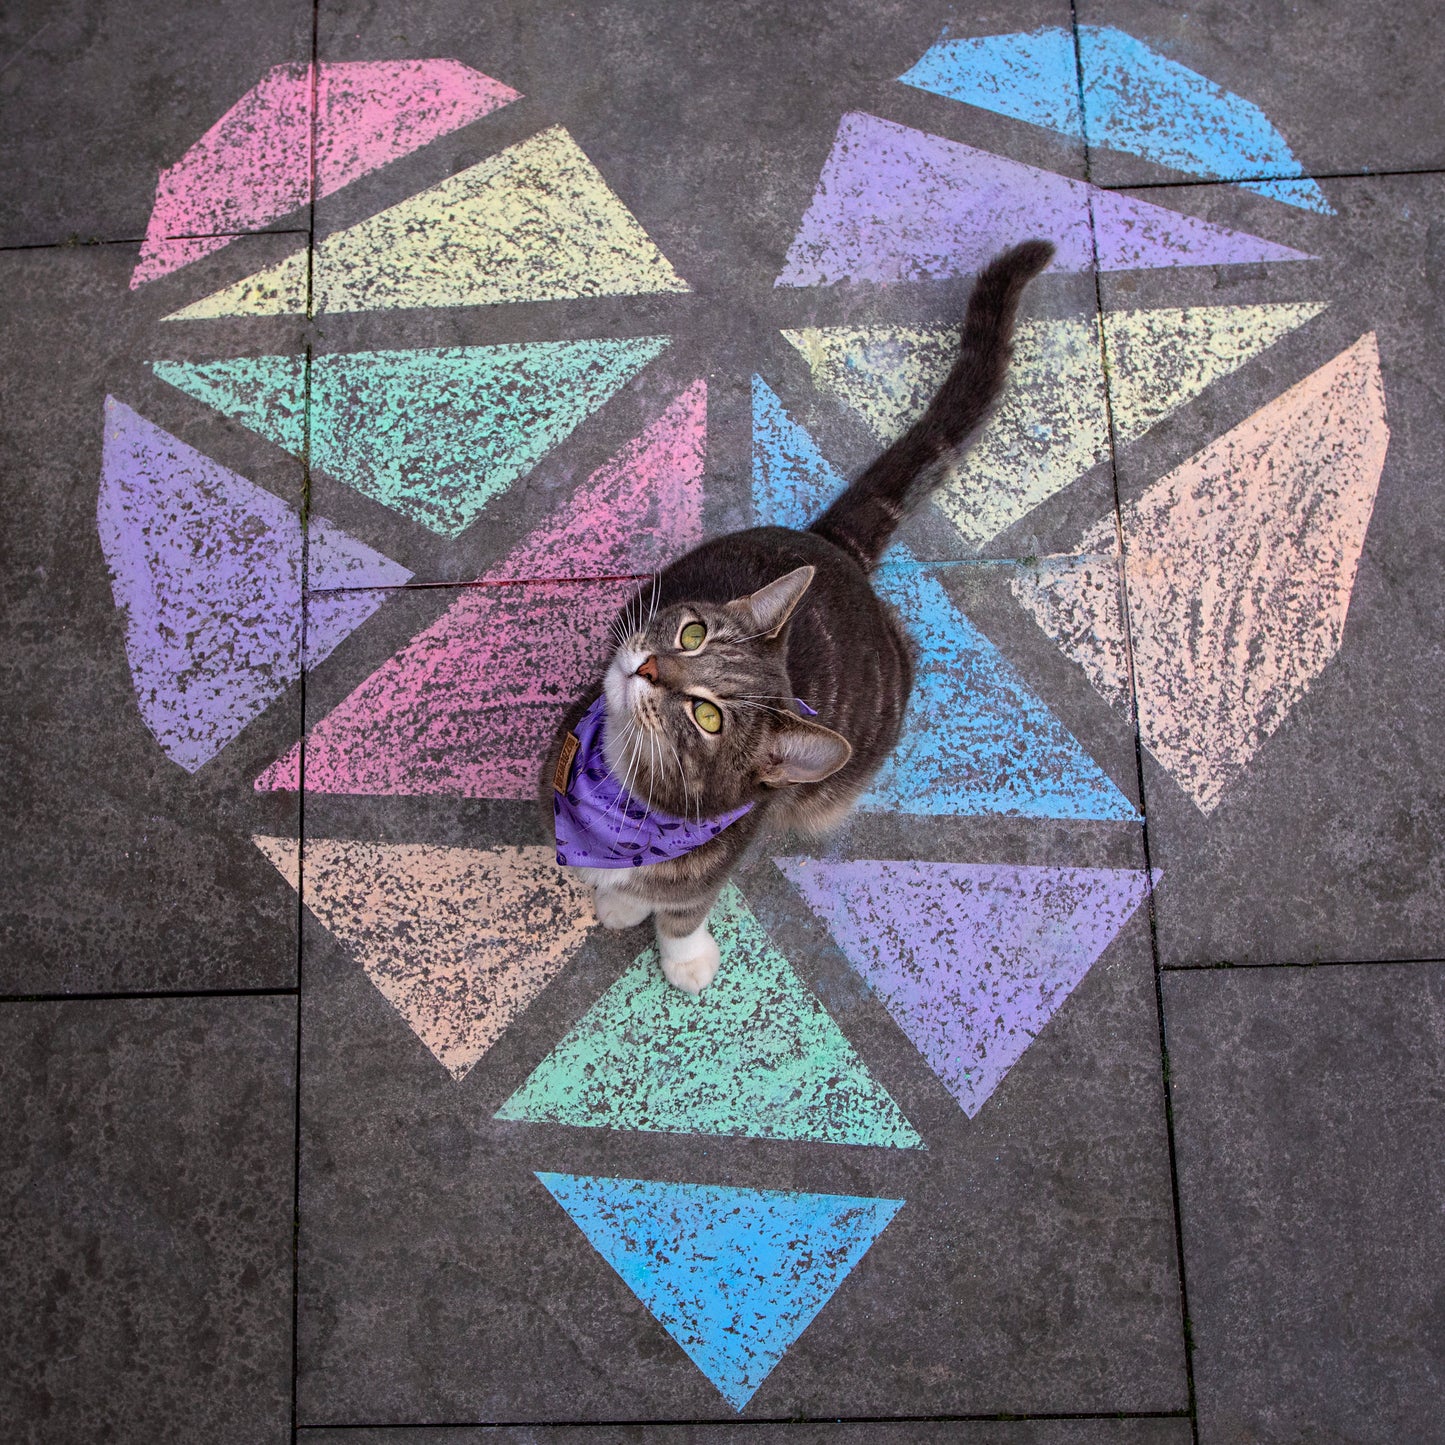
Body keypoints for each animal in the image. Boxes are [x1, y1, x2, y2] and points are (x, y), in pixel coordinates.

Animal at [543, 242, 1051, 999]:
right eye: (691, 633)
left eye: (708, 716)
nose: (650, 666)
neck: (622, 798)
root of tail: (835, 548)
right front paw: (615, 898)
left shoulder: (714, 855)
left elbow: (682, 905)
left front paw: (675, 947)